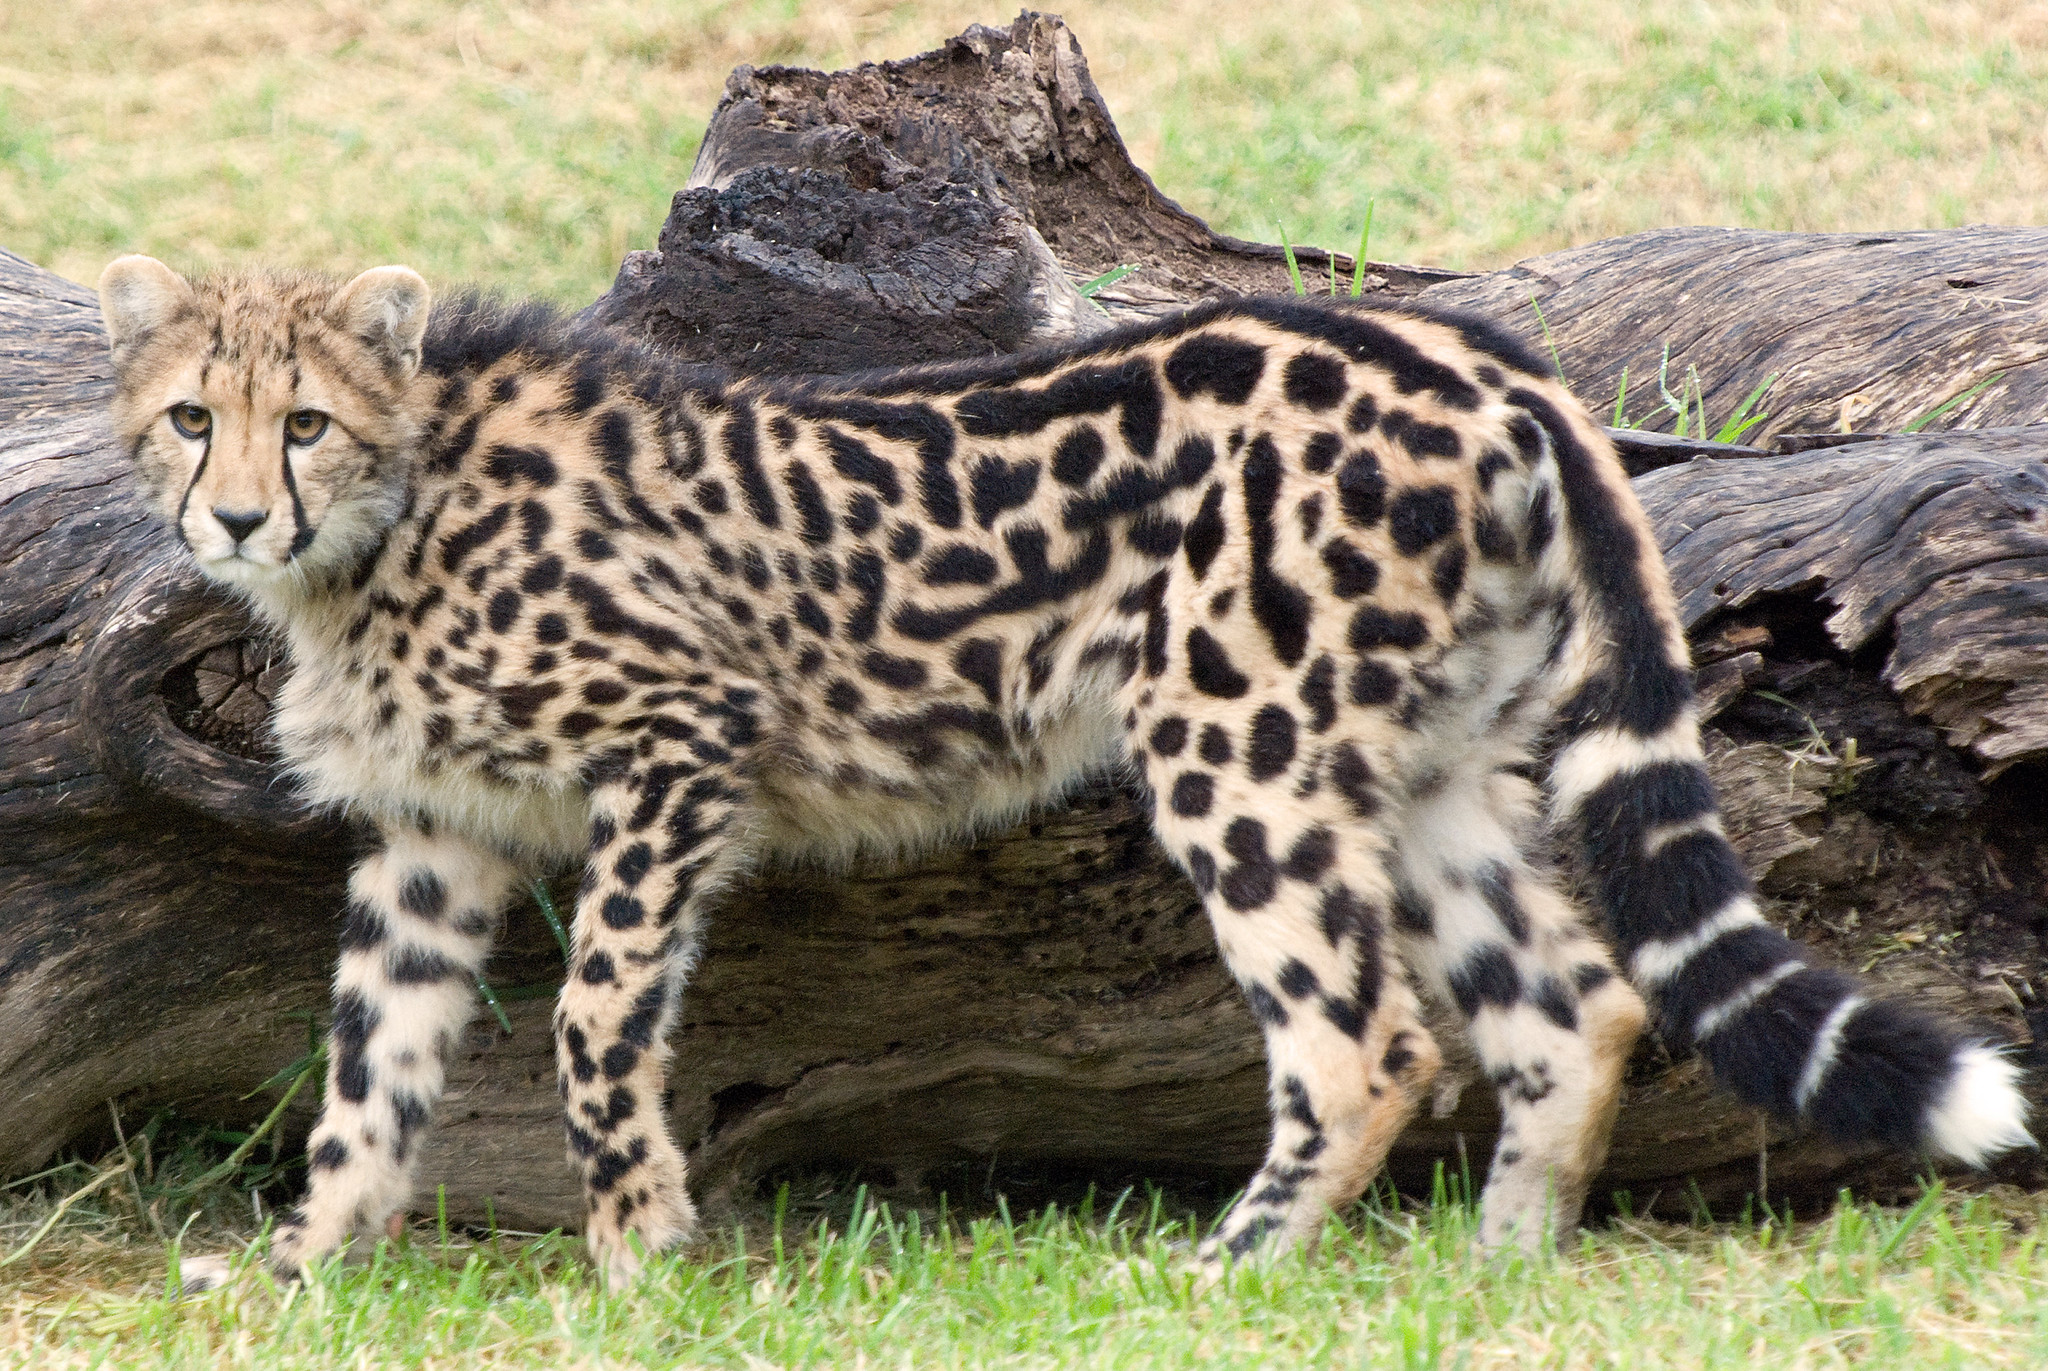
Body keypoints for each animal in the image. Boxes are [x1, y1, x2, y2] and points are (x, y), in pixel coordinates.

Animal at [97, 254, 2031, 1291]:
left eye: (305, 420)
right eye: (193, 416)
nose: (237, 513)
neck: (398, 504)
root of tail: (1462, 349)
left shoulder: (683, 745)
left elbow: (592, 1024)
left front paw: (638, 1260)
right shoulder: (430, 837)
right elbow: (367, 1073)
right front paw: (295, 1270)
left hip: (1235, 744)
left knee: (1367, 1038)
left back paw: (1230, 1273)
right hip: (1425, 767)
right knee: (1575, 1004)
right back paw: (1496, 1272)